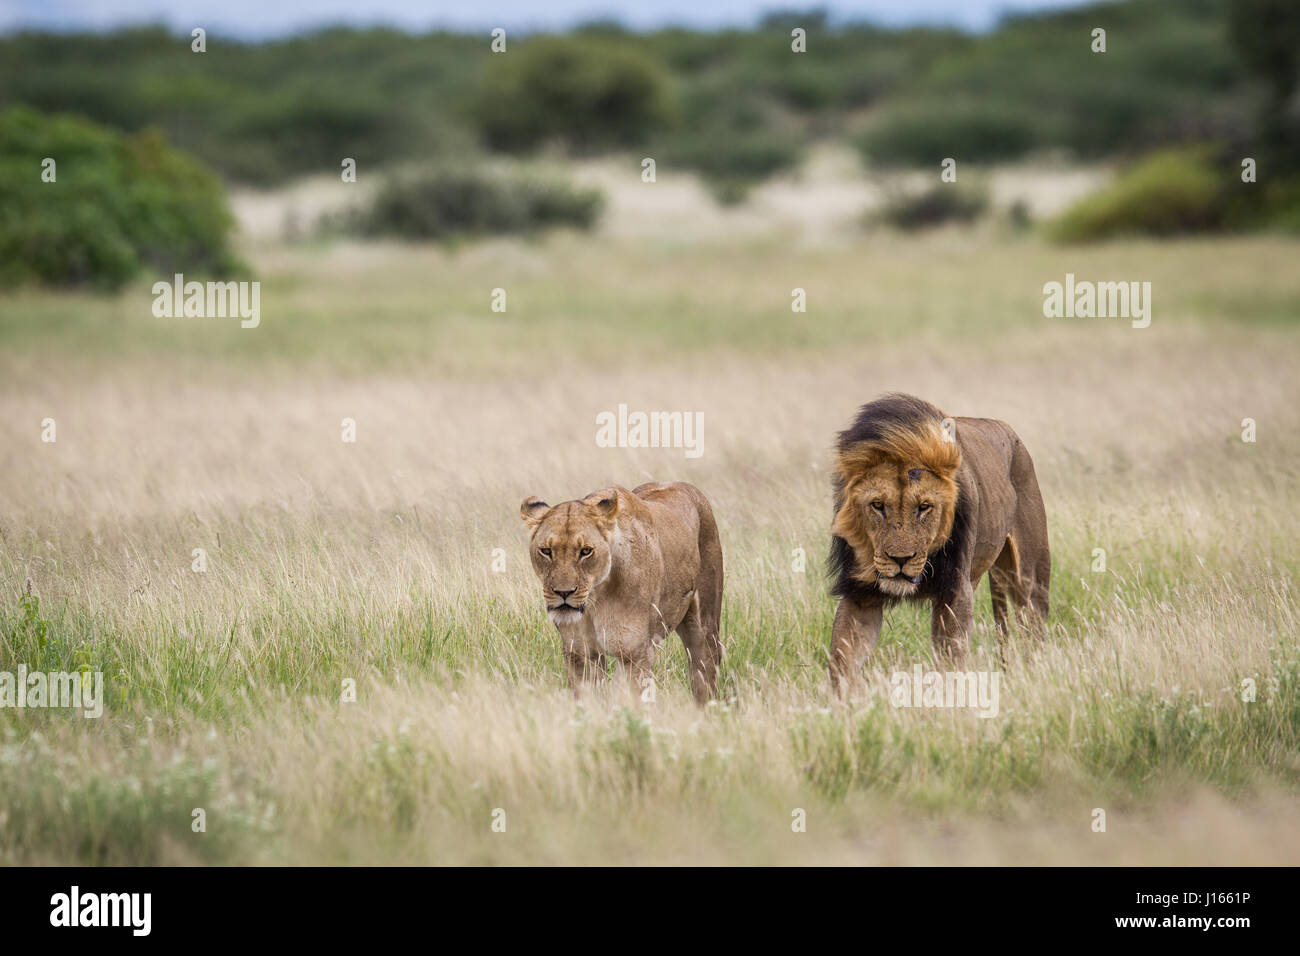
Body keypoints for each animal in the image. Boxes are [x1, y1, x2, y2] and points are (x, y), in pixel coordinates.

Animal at [520, 482, 724, 704]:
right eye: (546, 551)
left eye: (586, 551)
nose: (563, 592)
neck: (595, 599)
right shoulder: (580, 653)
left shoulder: (634, 654)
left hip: (704, 628)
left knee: (704, 674)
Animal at [827, 394, 1050, 695]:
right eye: (877, 505)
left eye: (924, 507)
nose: (900, 560)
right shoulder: (860, 595)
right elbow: (841, 660)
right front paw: (839, 703)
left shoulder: (954, 592)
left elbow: (950, 661)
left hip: (1030, 576)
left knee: (1034, 628)